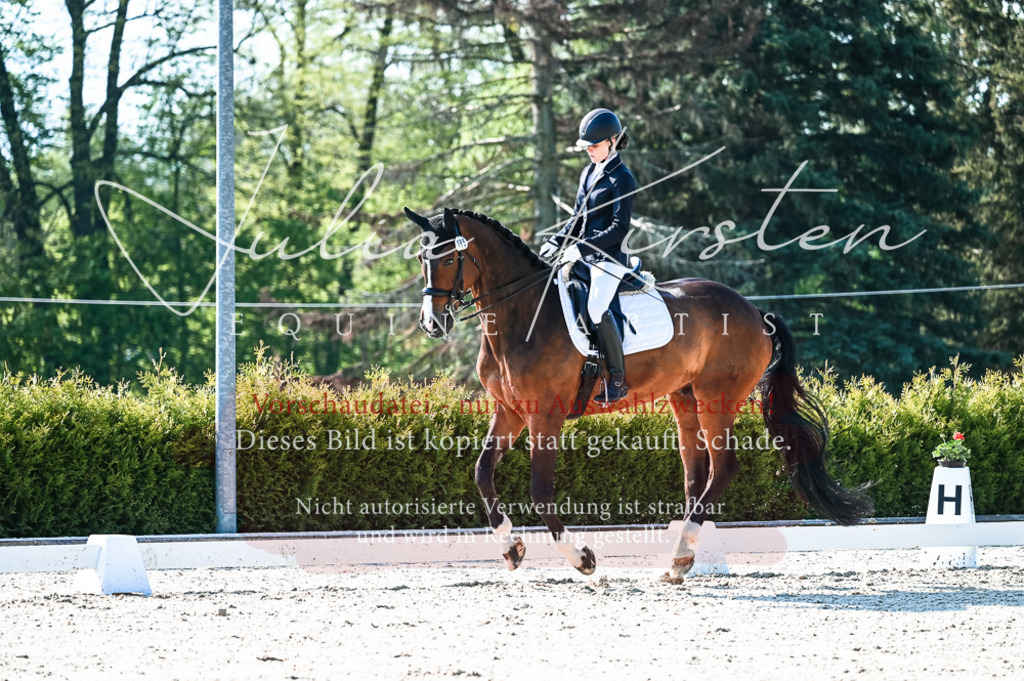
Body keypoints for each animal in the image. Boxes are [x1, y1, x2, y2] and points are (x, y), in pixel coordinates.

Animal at [404, 206, 871, 580]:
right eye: (423, 260)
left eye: (448, 258)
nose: (431, 323)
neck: (521, 313)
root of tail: (755, 310)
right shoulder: (510, 411)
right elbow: (482, 472)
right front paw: (512, 549)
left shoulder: (544, 415)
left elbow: (540, 491)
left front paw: (582, 559)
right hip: (683, 397)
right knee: (696, 474)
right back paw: (680, 560)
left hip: (716, 398)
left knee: (722, 469)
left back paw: (680, 555)